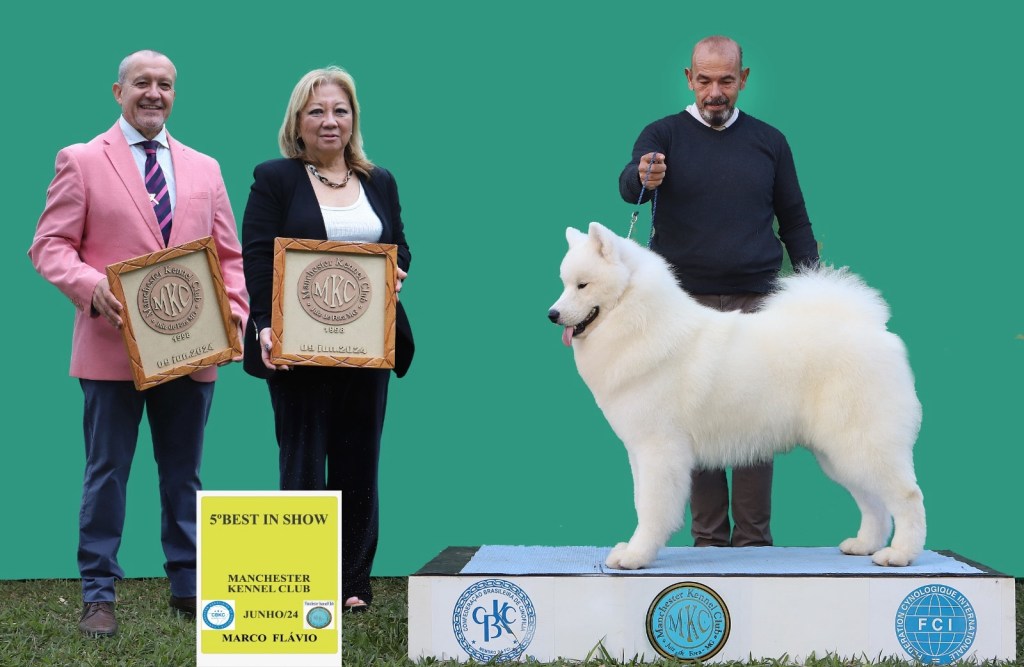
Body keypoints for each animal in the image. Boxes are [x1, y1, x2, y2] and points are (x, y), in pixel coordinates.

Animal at [548, 222, 925, 570]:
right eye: (565, 284)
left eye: (583, 285)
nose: (552, 314)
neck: (640, 323)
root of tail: (875, 330)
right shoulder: (639, 451)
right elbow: (642, 502)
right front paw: (632, 550)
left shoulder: (659, 449)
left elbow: (653, 508)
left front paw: (637, 556)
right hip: (838, 454)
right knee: (874, 503)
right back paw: (865, 545)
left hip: (859, 444)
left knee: (907, 496)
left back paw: (899, 555)